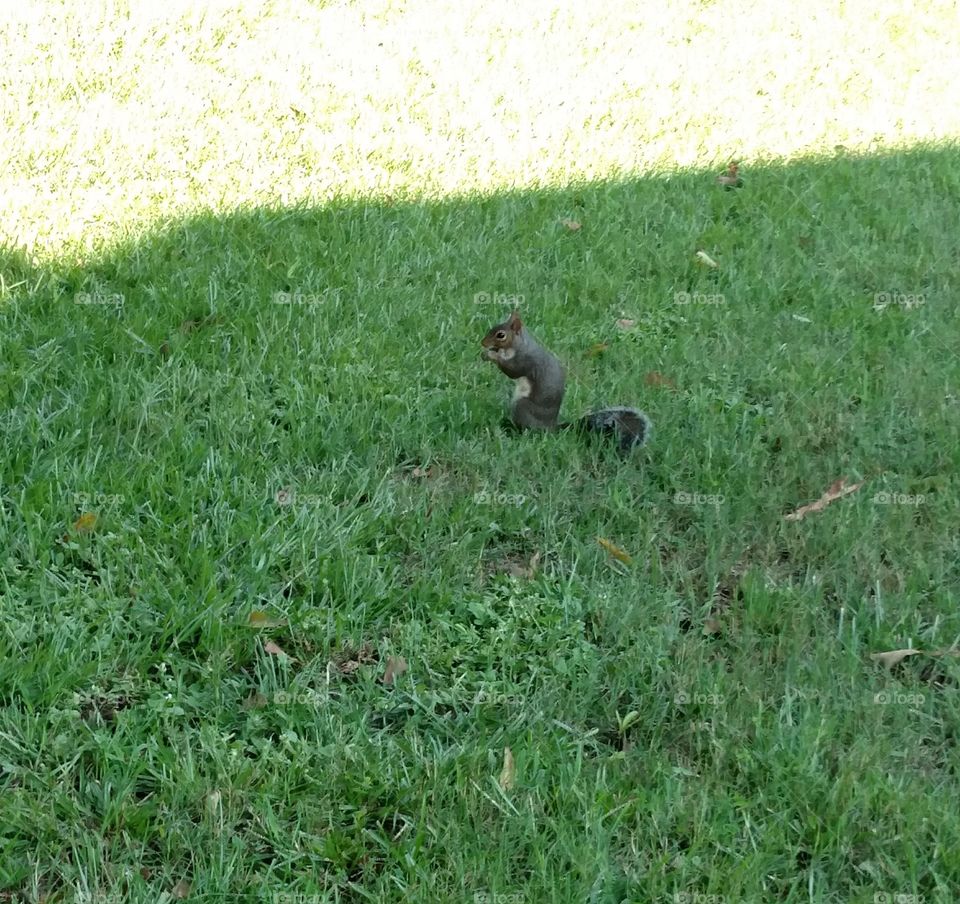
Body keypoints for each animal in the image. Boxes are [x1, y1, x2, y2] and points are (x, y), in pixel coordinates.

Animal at [481, 310, 651, 453]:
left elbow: (512, 371)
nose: (483, 343)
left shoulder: (525, 361)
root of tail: (549, 427)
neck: (520, 344)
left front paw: (491, 355)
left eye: (501, 335)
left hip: (522, 406)